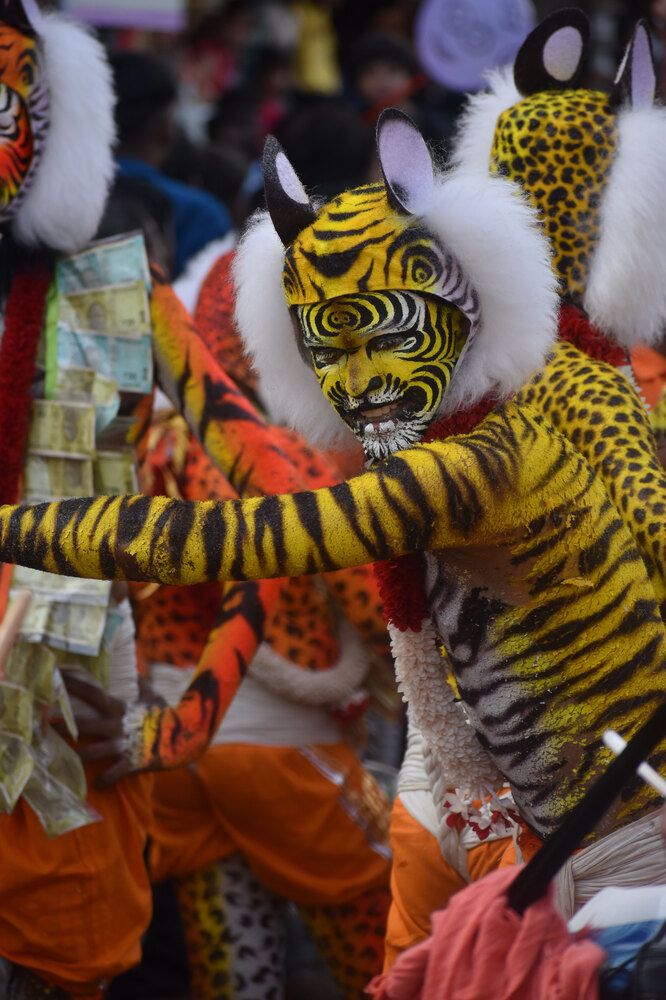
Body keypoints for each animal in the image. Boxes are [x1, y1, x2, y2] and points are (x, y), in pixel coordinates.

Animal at [0, 109, 664, 851]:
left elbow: (226, 535)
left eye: (394, 339)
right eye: (321, 351)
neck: (464, 414)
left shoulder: (447, 481)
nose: (364, 396)